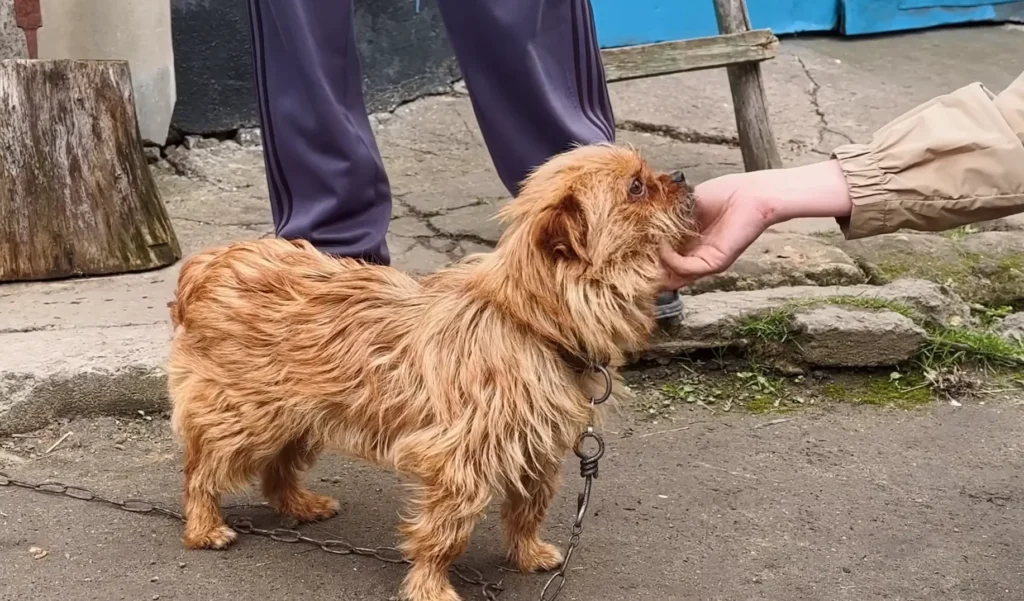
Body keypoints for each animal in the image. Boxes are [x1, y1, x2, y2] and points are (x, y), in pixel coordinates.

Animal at [167, 145, 696, 601]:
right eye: (636, 188)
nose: (682, 176)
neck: (529, 319)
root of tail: (207, 264)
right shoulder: (458, 463)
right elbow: (444, 531)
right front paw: (430, 586)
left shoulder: (535, 450)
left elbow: (528, 509)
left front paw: (526, 554)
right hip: (246, 415)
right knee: (203, 469)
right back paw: (204, 526)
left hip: (299, 412)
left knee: (277, 466)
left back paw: (298, 504)